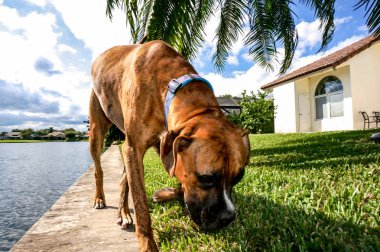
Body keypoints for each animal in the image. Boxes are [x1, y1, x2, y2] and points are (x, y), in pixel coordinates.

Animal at [88, 40, 249, 251]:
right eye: (206, 178)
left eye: (239, 177)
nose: (228, 218)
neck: (170, 85)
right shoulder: (136, 148)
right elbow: (141, 206)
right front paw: (148, 244)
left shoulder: (165, 145)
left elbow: (177, 185)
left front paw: (166, 194)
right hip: (96, 132)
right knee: (98, 169)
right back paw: (100, 198)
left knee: (125, 178)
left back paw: (124, 211)